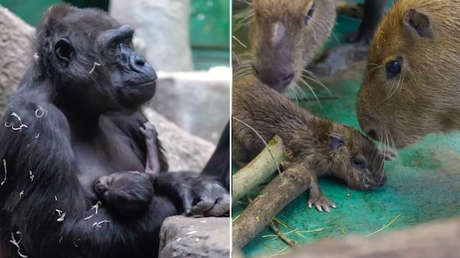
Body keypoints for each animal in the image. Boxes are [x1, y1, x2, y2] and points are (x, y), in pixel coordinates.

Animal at [0, 4, 229, 258]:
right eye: (114, 46)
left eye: (127, 41)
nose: (140, 61)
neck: (73, 103)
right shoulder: (35, 122)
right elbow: (64, 234)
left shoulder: (130, 112)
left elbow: (158, 172)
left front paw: (189, 183)